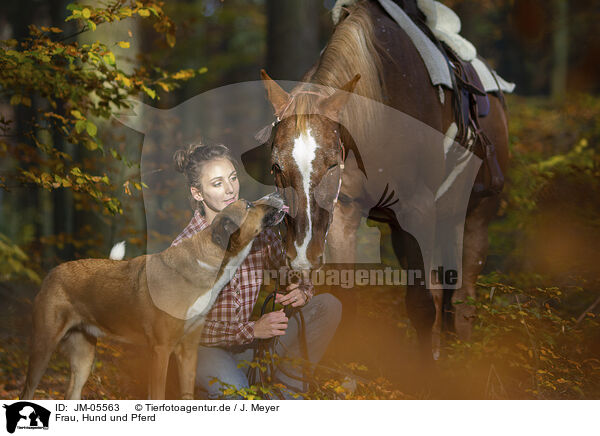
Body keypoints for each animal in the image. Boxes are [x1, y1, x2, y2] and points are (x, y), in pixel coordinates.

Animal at [19, 194, 288, 398]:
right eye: (249, 205)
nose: (278, 194)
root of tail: (52, 272)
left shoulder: (188, 351)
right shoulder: (160, 350)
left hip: (84, 357)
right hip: (43, 346)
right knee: (27, 391)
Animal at [260, 0, 508, 362]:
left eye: (332, 165)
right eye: (277, 166)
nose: (303, 253)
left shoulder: (418, 210)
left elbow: (422, 306)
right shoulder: (344, 213)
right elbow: (346, 300)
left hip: (476, 215)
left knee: (462, 300)